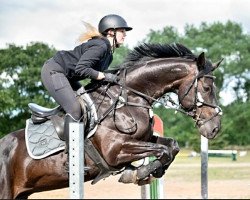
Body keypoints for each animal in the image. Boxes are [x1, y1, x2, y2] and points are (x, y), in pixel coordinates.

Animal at [0, 42, 223, 198]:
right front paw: (138, 173)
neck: (129, 98)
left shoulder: (144, 139)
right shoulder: (115, 151)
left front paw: (149, 171)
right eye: (206, 88)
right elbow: (163, 150)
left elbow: (172, 146)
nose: (214, 128)